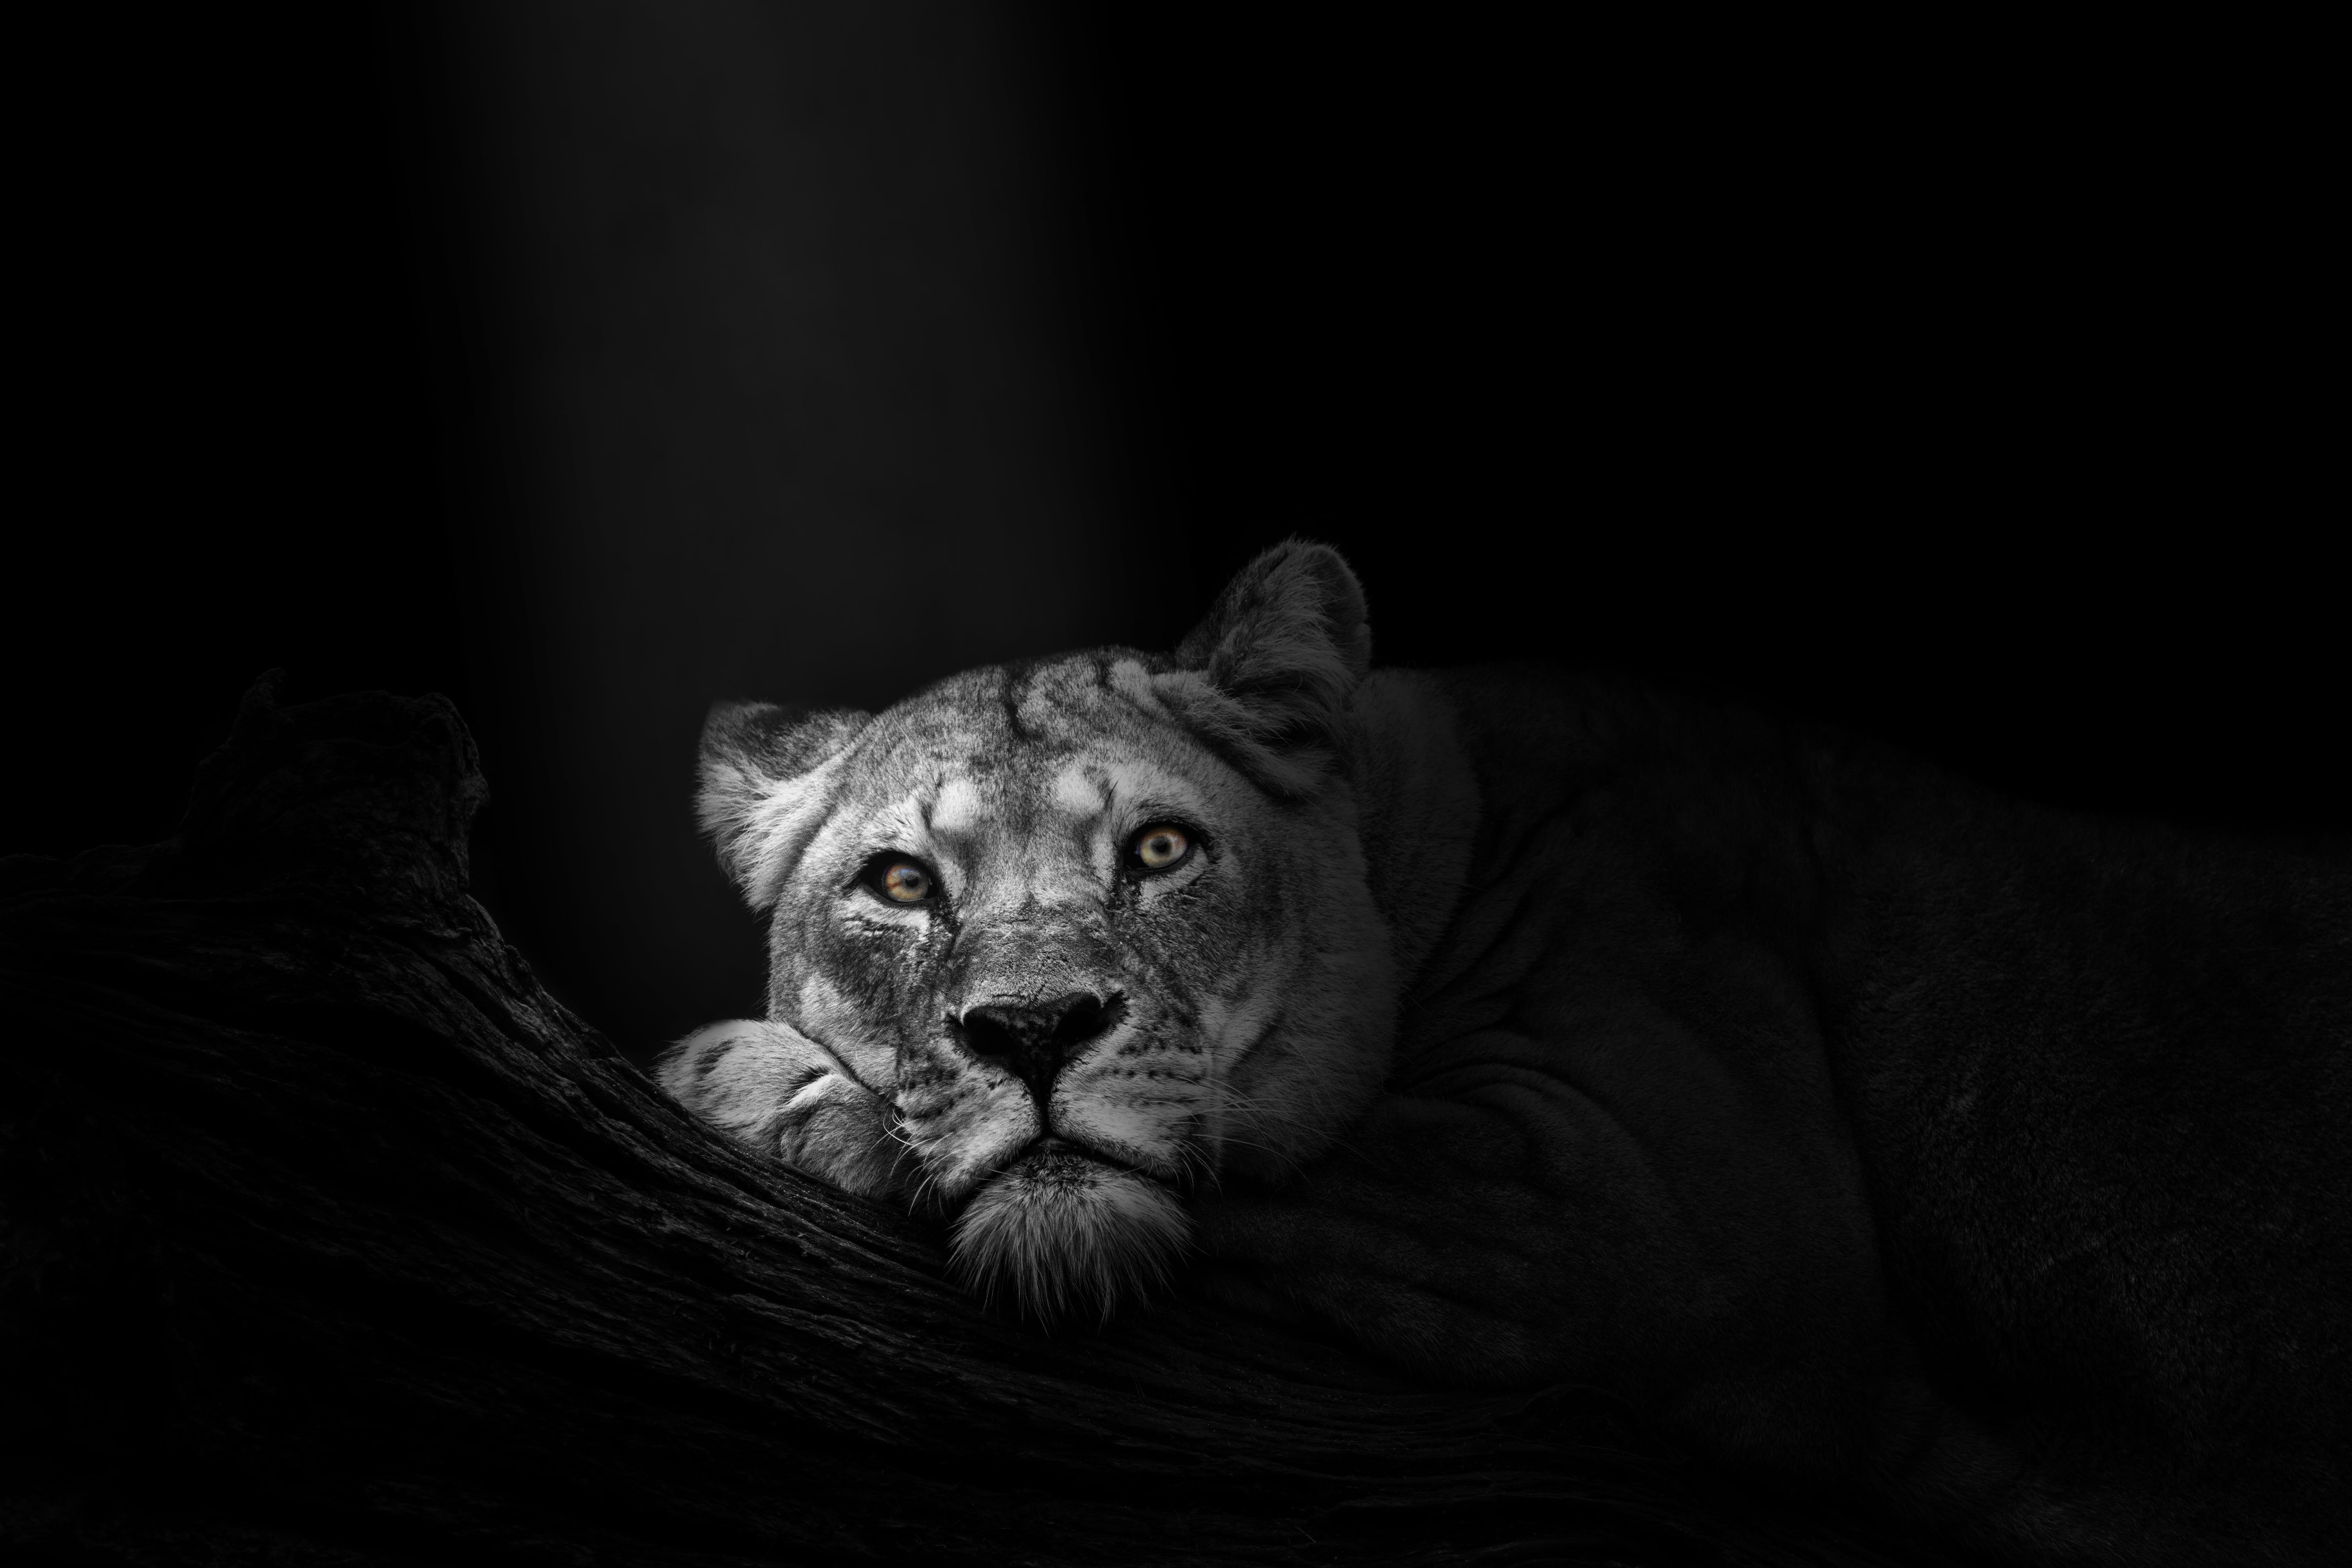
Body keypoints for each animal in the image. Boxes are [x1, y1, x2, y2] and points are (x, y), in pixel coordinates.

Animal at [660, 540, 2348, 1564]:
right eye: (900, 885)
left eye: (1159, 850)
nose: (1031, 1031)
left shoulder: (1636, 1200)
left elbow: (1275, 1168)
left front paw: (758, 1082)